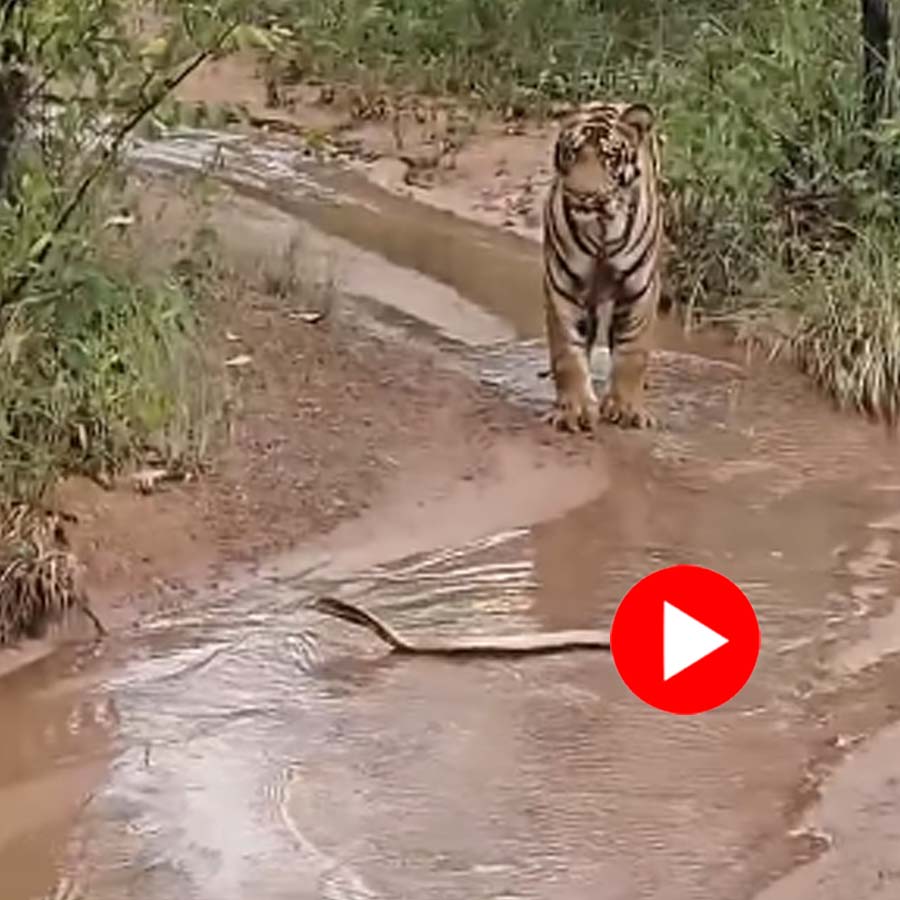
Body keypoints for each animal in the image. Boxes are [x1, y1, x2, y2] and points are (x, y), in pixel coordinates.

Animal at [541, 100, 664, 432]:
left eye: (608, 156)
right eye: (573, 153)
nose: (582, 194)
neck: (601, 228)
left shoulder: (639, 287)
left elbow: (632, 351)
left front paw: (627, 409)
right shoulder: (563, 284)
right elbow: (568, 351)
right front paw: (574, 410)